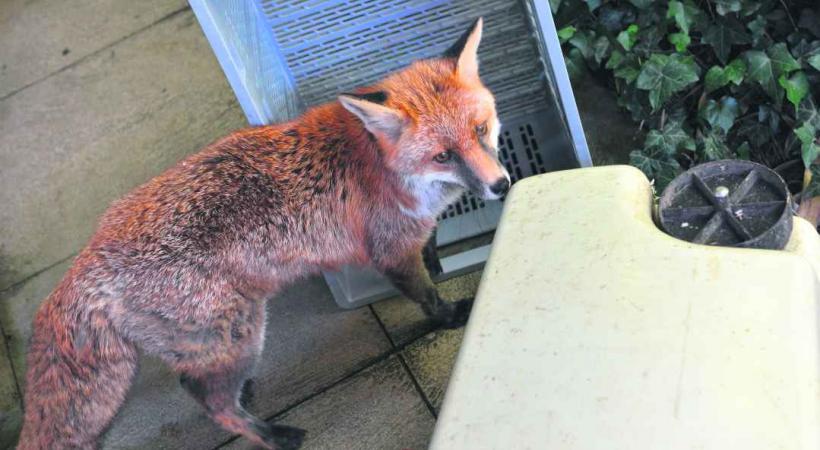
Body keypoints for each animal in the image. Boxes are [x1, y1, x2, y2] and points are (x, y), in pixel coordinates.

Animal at [17, 17, 509, 450]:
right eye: (442, 155)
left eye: (481, 129)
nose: (501, 186)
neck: (383, 165)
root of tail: (89, 256)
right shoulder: (391, 252)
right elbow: (426, 296)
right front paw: (450, 315)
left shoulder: (415, 233)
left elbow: (432, 250)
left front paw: (438, 260)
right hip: (244, 331)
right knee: (211, 403)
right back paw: (272, 435)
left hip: (219, 344)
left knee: (193, 382)